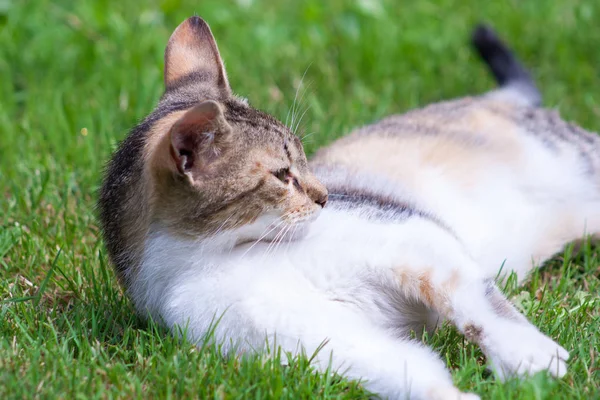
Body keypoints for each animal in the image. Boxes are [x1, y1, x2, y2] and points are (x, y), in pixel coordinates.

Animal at [96, 17, 596, 400]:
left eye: (303, 157)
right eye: (283, 174)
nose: (325, 196)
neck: (232, 257)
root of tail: (497, 99)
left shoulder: (411, 237)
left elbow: (475, 299)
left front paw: (527, 354)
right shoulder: (318, 342)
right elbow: (407, 368)